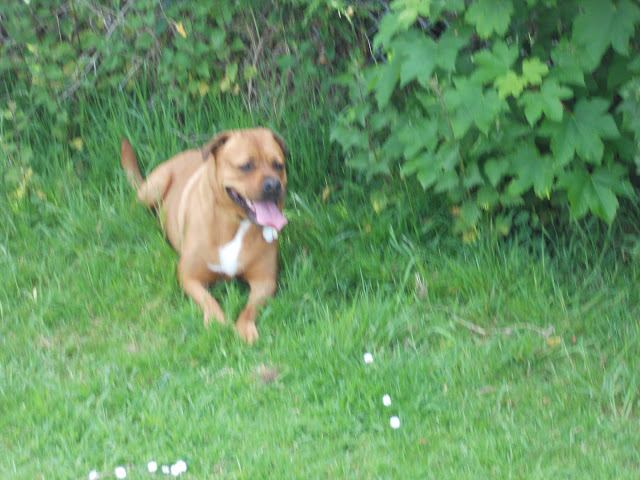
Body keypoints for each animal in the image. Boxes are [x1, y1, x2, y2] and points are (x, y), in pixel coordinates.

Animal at [119, 128, 288, 344]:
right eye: (246, 166)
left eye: (278, 165)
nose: (274, 185)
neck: (236, 223)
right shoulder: (189, 276)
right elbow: (209, 300)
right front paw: (216, 322)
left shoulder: (264, 281)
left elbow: (250, 308)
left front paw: (244, 327)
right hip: (152, 188)